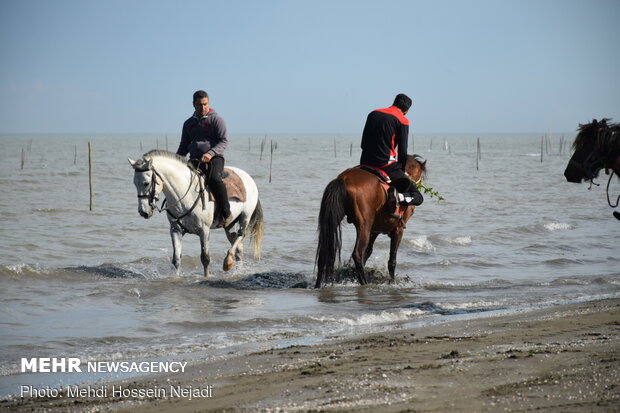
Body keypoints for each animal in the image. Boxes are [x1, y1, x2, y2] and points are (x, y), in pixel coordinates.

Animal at [128, 150, 264, 276]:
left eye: (146, 183)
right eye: (134, 183)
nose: (143, 212)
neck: (185, 195)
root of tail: (248, 177)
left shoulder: (204, 230)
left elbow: (205, 258)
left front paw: (206, 277)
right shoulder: (175, 230)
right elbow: (176, 260)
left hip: (245, 217)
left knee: (241, 235)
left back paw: (227, 262)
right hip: (229, 224)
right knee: (239, 249)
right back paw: (236, 270)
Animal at [314, 154, 426, 286]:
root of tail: (343, 179)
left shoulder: (375, 230)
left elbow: (368, 252)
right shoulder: (398, 230)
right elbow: (392, 260)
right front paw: (392, 282)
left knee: (324, 253)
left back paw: (318, 285)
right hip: (364, 226)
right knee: (357, 254)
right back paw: (365, 283)